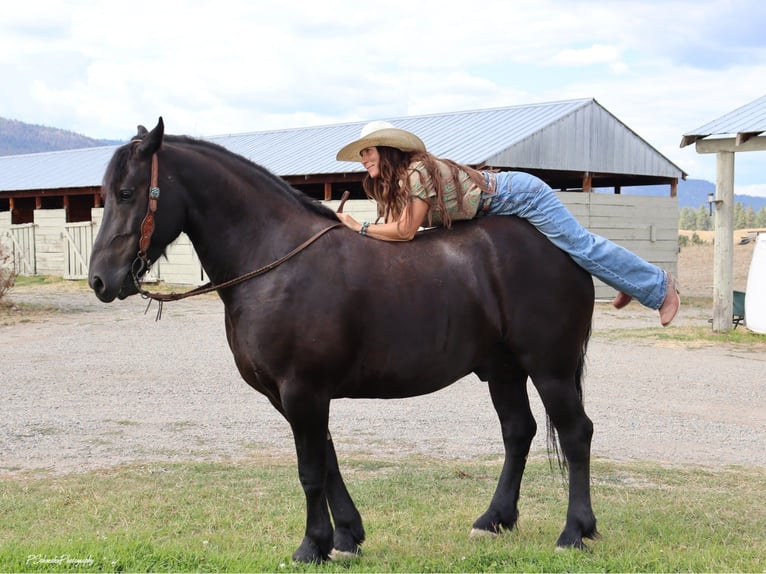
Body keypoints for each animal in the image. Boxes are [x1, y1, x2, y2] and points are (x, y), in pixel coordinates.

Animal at [88, 117, 598, 563]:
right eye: (107, 194)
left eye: (127, 192)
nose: (100, 280)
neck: (275, 260)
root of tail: (561, 248)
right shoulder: (290, 395)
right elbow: (328, 459)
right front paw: (347, 537)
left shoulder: (303, 390)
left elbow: (311, 470)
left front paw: (311, 546)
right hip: (503, 370)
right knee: (518, 432)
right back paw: (494, 519)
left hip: (549, 369)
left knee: (576, 434)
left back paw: (575, 532)